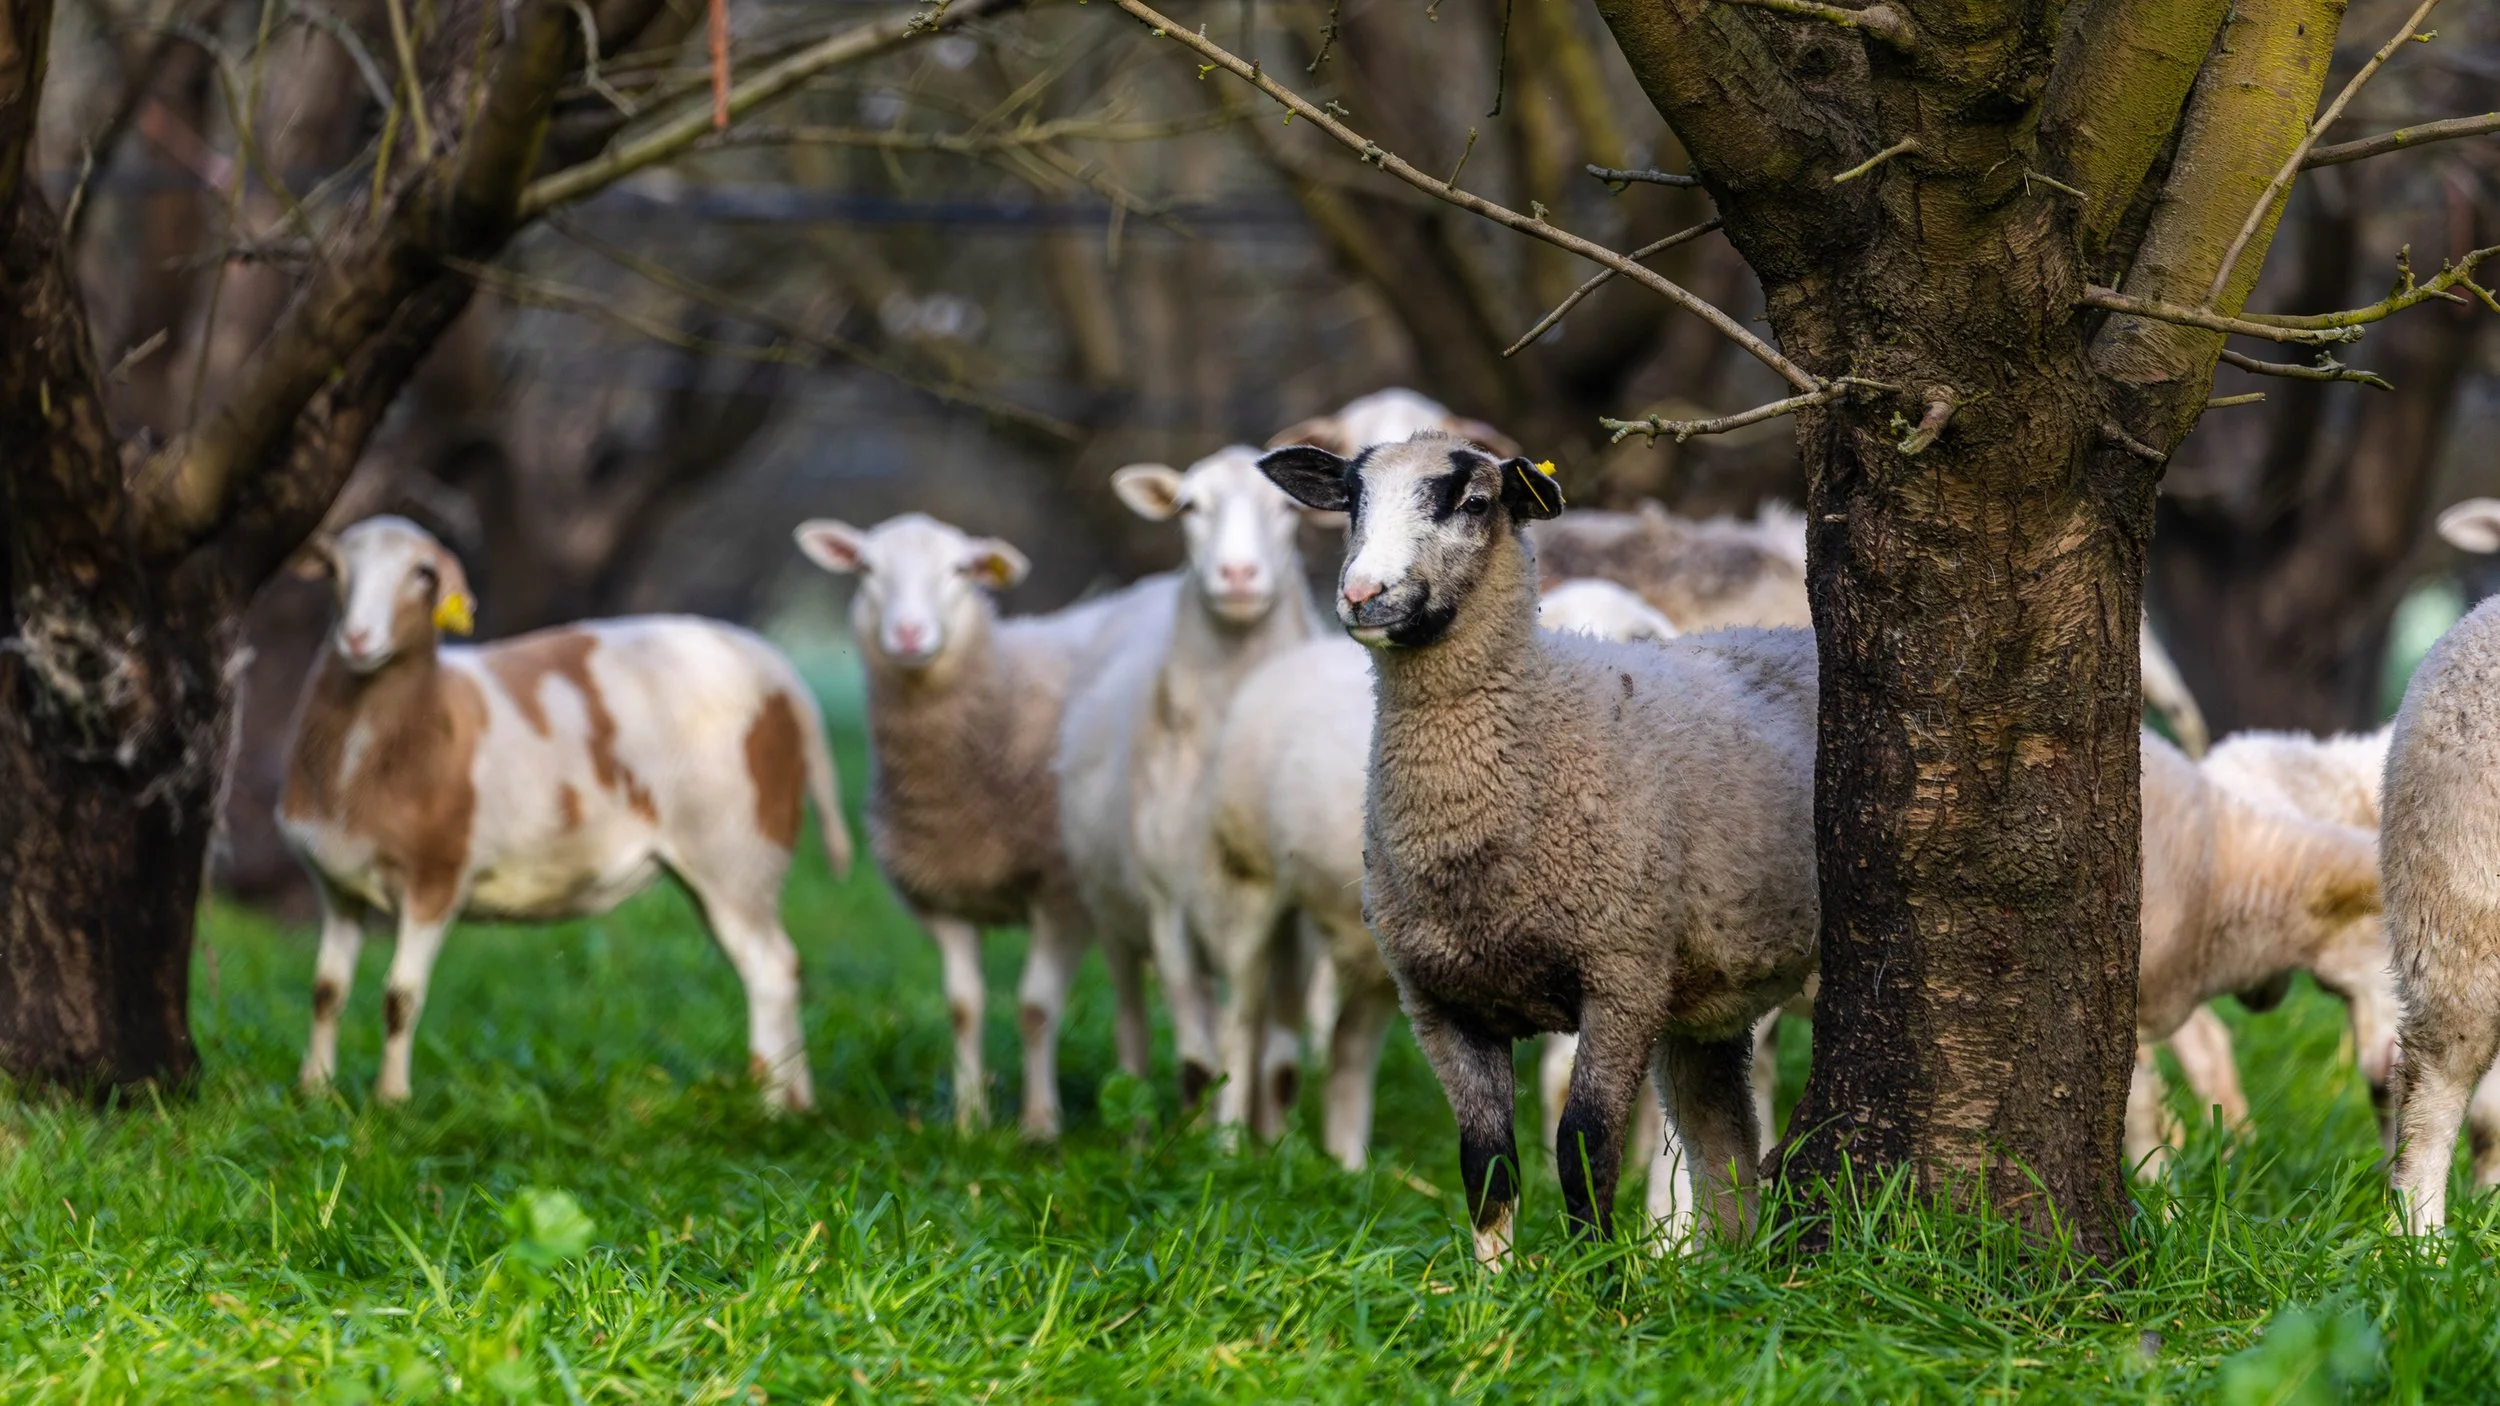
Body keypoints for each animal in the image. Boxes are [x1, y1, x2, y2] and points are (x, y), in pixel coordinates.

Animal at [283, 516, 849, 1111]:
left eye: (423, 574)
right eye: (336, 571)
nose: (357, 639)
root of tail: (781, 673)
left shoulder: (436, 876)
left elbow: (401, 997)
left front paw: (391, 1101)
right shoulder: (336, 884)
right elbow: (326, 991)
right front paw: (314, 1091)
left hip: (738, 851)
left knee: (771, 969)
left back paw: (770, 1106)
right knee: (777, 965)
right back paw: (799, 1102)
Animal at [794, 513, 1169, 1137]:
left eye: (960, 570)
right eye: (867, 568)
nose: (909, 634)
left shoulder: (1063, 896)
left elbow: (1035, 1007)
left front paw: (1040, 1124)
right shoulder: (943, 898)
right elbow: (963, 1007)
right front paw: (970, 1122)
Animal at [1057, 447, 1328, 1105]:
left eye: (1288, 506)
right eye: (1187, 506)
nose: (1237, 575)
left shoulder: (1262, 911)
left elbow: (1242, 1038)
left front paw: (1232, 1134)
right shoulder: (1165, 906)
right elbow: (1196, 1059)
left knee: (1274, 1052)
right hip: (1114, 915)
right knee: (1131, 1026)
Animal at [1258, 435, 1820, 1261]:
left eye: (1472, 503)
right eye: (1352, 500)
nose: (1363, 594)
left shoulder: (1622, 977)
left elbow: (1583, 1145)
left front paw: (1594, 1279)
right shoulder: (1441, 1001)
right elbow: (1485, 1160)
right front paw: (1494, 1285)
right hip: (1708, 993)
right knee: (1721, 1136)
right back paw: (1724, 1263)